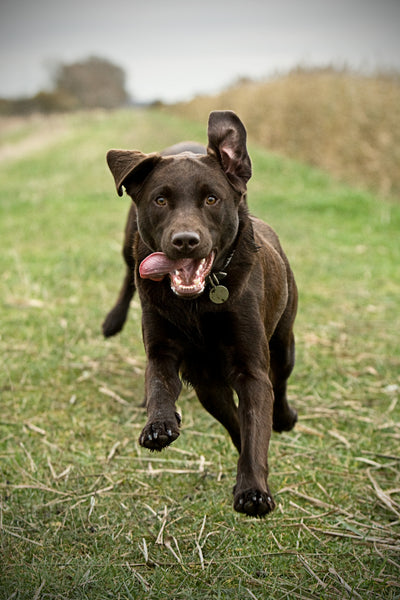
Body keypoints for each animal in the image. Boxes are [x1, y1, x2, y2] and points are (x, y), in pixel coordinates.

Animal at [103, 111, 296, 516]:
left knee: (282, 380)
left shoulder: (251, 370)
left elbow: (256, 420)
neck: (200, 301)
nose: (185, 241)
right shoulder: (167, 354)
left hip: (284, 341)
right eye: (160, 199)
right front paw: (160, 424)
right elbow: (160, 385)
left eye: (211, 199)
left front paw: (253, 489)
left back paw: (285, 418)